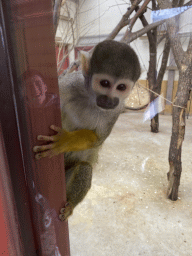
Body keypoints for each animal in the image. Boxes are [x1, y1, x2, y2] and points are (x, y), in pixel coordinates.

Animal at [33, 39, 141, 220]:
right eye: (105, 83)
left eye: (121, 87)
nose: (109, 100)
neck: (91, 98)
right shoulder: (71, 83)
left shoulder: (117, 108)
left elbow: (98, 137)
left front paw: (64, 141)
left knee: (84, 167)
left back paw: (70, 204)